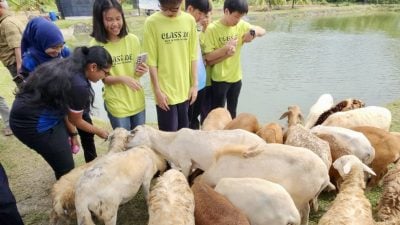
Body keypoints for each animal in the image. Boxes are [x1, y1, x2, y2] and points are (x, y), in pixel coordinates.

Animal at [126, 125, 268, 178]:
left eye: (135, 132)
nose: (125, 145)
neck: (170, 142)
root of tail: (263, 142)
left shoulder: (185, 162)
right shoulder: (193, 164)